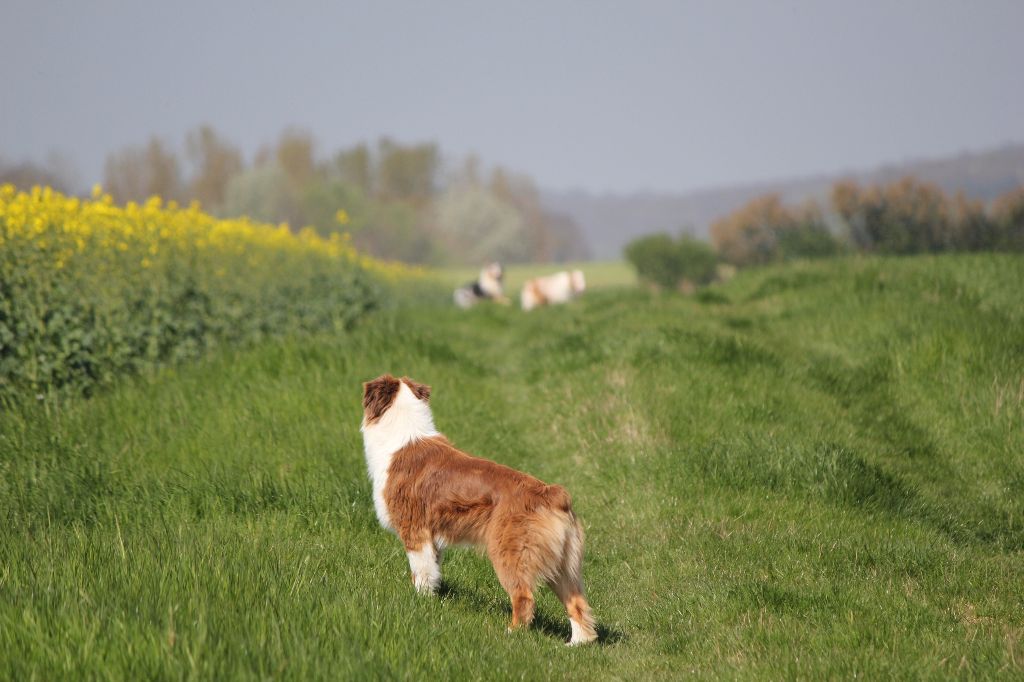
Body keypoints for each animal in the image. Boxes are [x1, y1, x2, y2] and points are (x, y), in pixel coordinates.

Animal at [362, 372, 598, 643]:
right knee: (577, 604)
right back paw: (576, 644)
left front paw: (419, 603)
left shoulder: (414, 529)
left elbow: (420, 571)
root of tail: (552, 493)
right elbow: (433, 570)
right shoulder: (433, 538)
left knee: (524, 597)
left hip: (510, 553)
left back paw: (510, 633)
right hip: (563, 564)